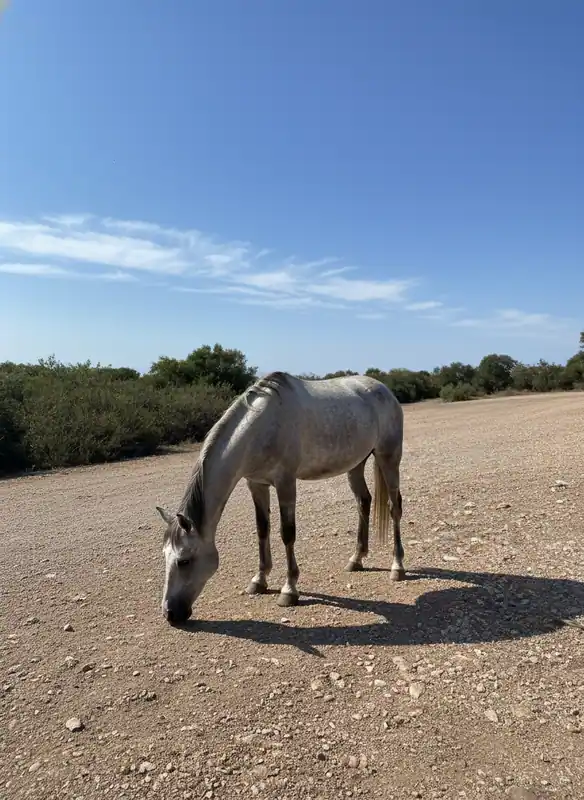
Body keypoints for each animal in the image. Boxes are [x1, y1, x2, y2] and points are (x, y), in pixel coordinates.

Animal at [155, 371, 405, 625]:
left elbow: (287, 534)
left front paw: (289, 590)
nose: (170, 613)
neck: (261, 428)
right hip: (356, 465)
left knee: (394, 507)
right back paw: (356, 559)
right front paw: (259, 580)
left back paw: (397, 567)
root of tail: (383, 389)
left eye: (184, 561)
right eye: (165, 556)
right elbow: (262, 530)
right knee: (363, 502)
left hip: (388, 458)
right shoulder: (256, 484)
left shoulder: (285, 483)